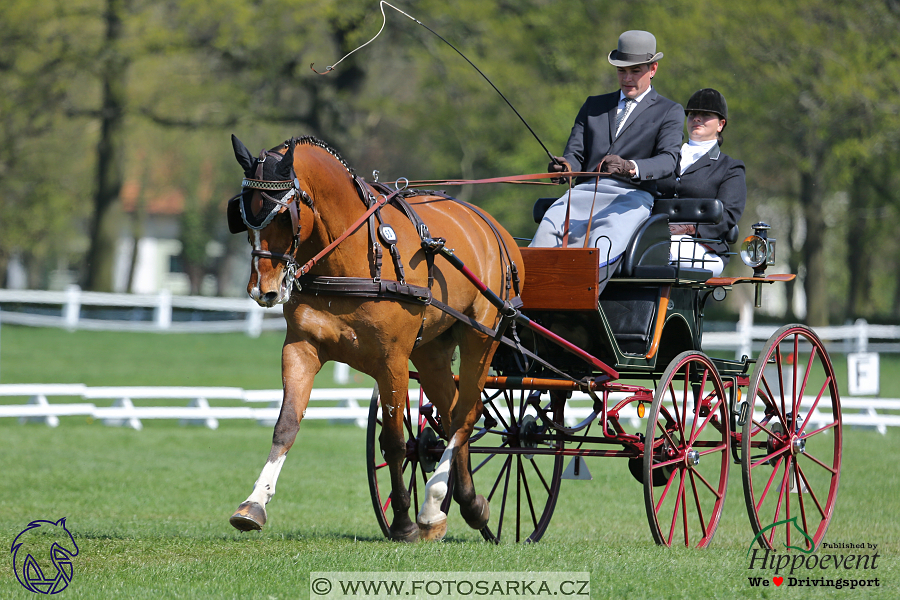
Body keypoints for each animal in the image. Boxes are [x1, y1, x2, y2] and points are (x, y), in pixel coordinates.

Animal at [227, 136, 520, 544]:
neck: (348, 258)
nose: (263, 290)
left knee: (465, 414)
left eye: (285, 215)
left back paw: (432, 505)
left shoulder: (391, 361)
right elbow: (286, 425)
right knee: (452, 413)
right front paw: (254, 504)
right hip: (431, 351)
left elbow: (395, 442)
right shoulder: (301, 348)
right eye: (243, 215)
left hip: (482, 336)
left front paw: (403, 523)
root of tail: (494, 227)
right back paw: (467, 502)